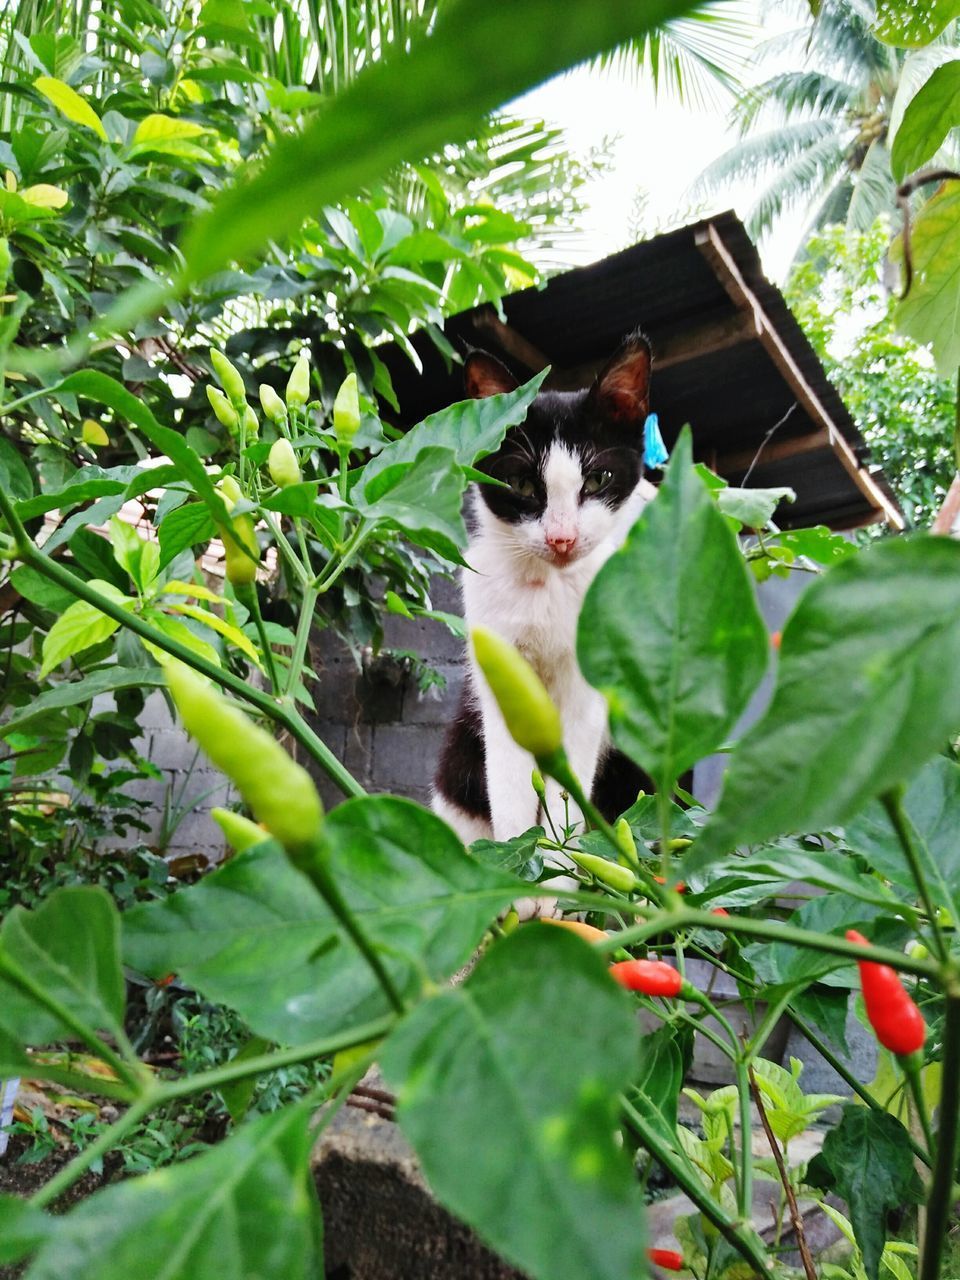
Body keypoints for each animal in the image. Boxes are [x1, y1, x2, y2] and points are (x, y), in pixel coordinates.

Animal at [435, 330, 655, 849]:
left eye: (598, 479)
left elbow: (568, 790)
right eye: (520, 484)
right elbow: (510, 782)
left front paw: (557, 865)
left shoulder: (589, 690)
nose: (561, 538)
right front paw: (519, 853)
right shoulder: (499, 671)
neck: (548, 589)